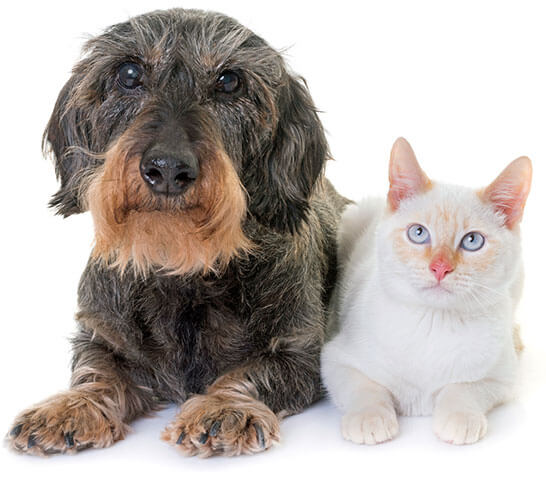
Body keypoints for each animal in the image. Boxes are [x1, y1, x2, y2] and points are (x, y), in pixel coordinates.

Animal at [6, 8, 346, 458]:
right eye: (129, 73)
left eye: (229, 81)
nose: (167, 168)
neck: (182, 265)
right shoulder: (101, 335)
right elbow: (96, 369)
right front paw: (72, 405)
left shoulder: (300, 355)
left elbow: (251, 373)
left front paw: (223, 406)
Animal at [320, 138, 528, 446]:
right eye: (418, 233)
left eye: (472, 241)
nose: (439, 268)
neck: (432, 322)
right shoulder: (335, 359)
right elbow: (366, 389)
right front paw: (370, 419)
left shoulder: (501, 378)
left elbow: (463, 389)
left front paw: (459, 419)